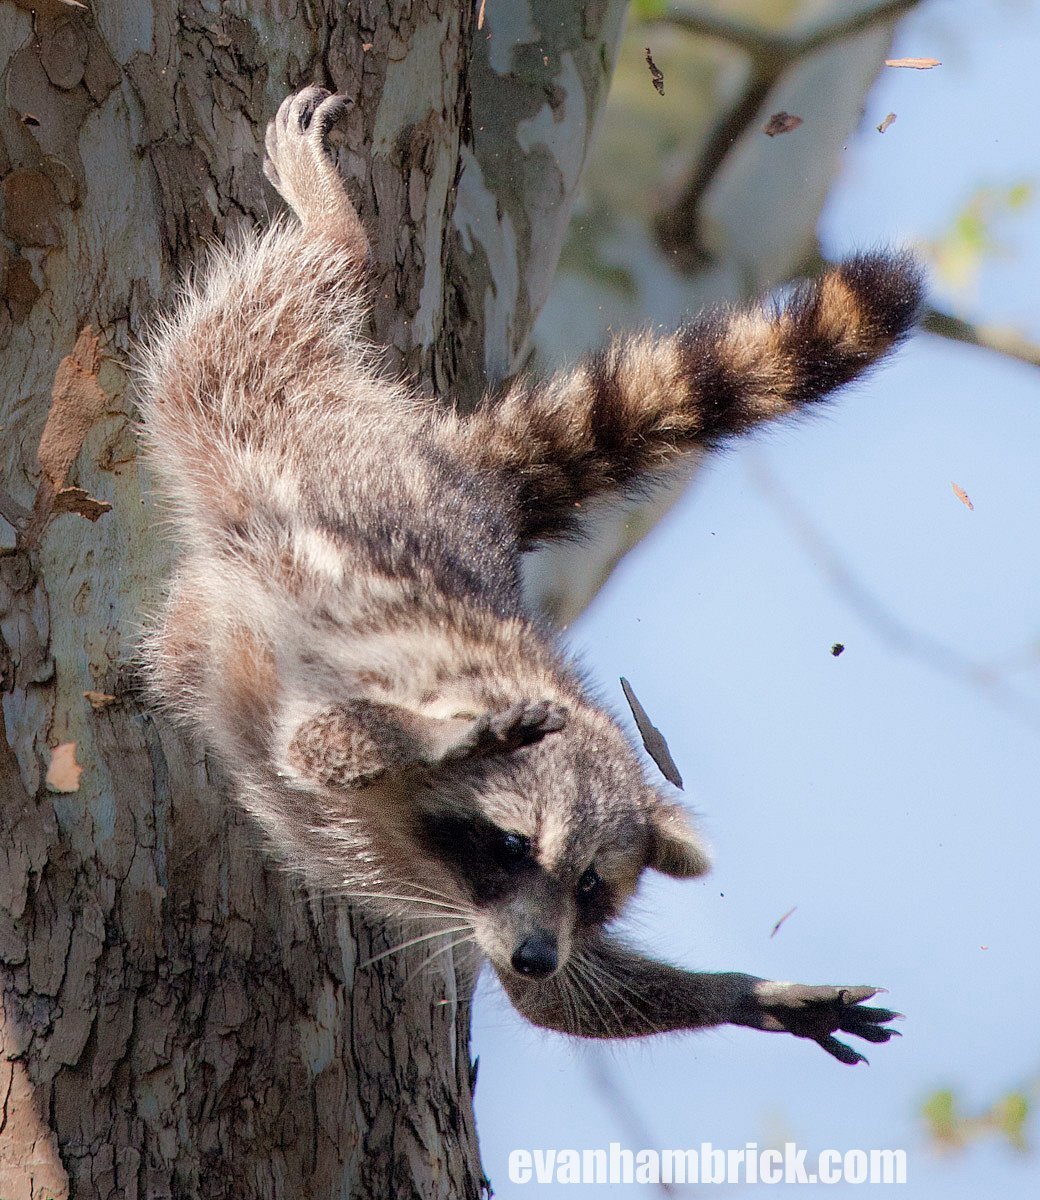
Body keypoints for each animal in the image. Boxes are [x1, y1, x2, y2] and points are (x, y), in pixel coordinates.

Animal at [136, 88, 921, 1065]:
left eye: (591, 884)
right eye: (512, 846)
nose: (541, 949)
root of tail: (456, 472)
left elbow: (563, 1000)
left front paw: (749, 994)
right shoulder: (362, 680)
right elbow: (315, 741)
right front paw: (434, 740)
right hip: (272, 416)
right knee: (239, 336)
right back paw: (336, 236)